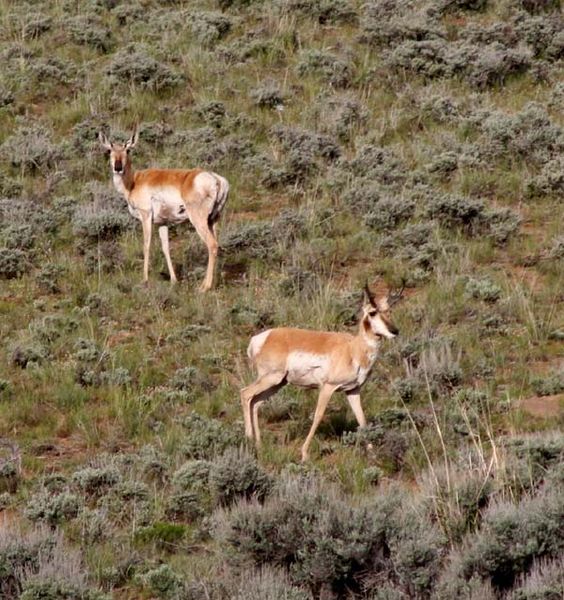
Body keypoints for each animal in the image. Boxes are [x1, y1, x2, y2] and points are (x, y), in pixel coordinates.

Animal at [99, 127, 229, 292]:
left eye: (127, 150)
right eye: (109, 150)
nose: (118, 167)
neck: (134, 182)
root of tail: (216, 179)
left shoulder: (146, 216)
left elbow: (146, 245)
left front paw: (145, 280)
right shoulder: (163, 223)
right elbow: (165, 247)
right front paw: (174, 280)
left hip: (198, 220)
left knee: (211, 244)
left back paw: (204, 287)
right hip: (213, 221)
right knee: (216, 244)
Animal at [240, 284, 404, 462]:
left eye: (389, 310)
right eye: (372, 312)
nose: (395, 331)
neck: (353, 349)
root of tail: (260, 338)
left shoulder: (352, 390)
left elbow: (362, 419)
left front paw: (373, 455)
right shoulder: (327, 387)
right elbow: (318, 416)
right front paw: (304, 454)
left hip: (277, 383)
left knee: (255, 402)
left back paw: (258, 444)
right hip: (271, 378)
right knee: (245, 393)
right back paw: (249, 440)